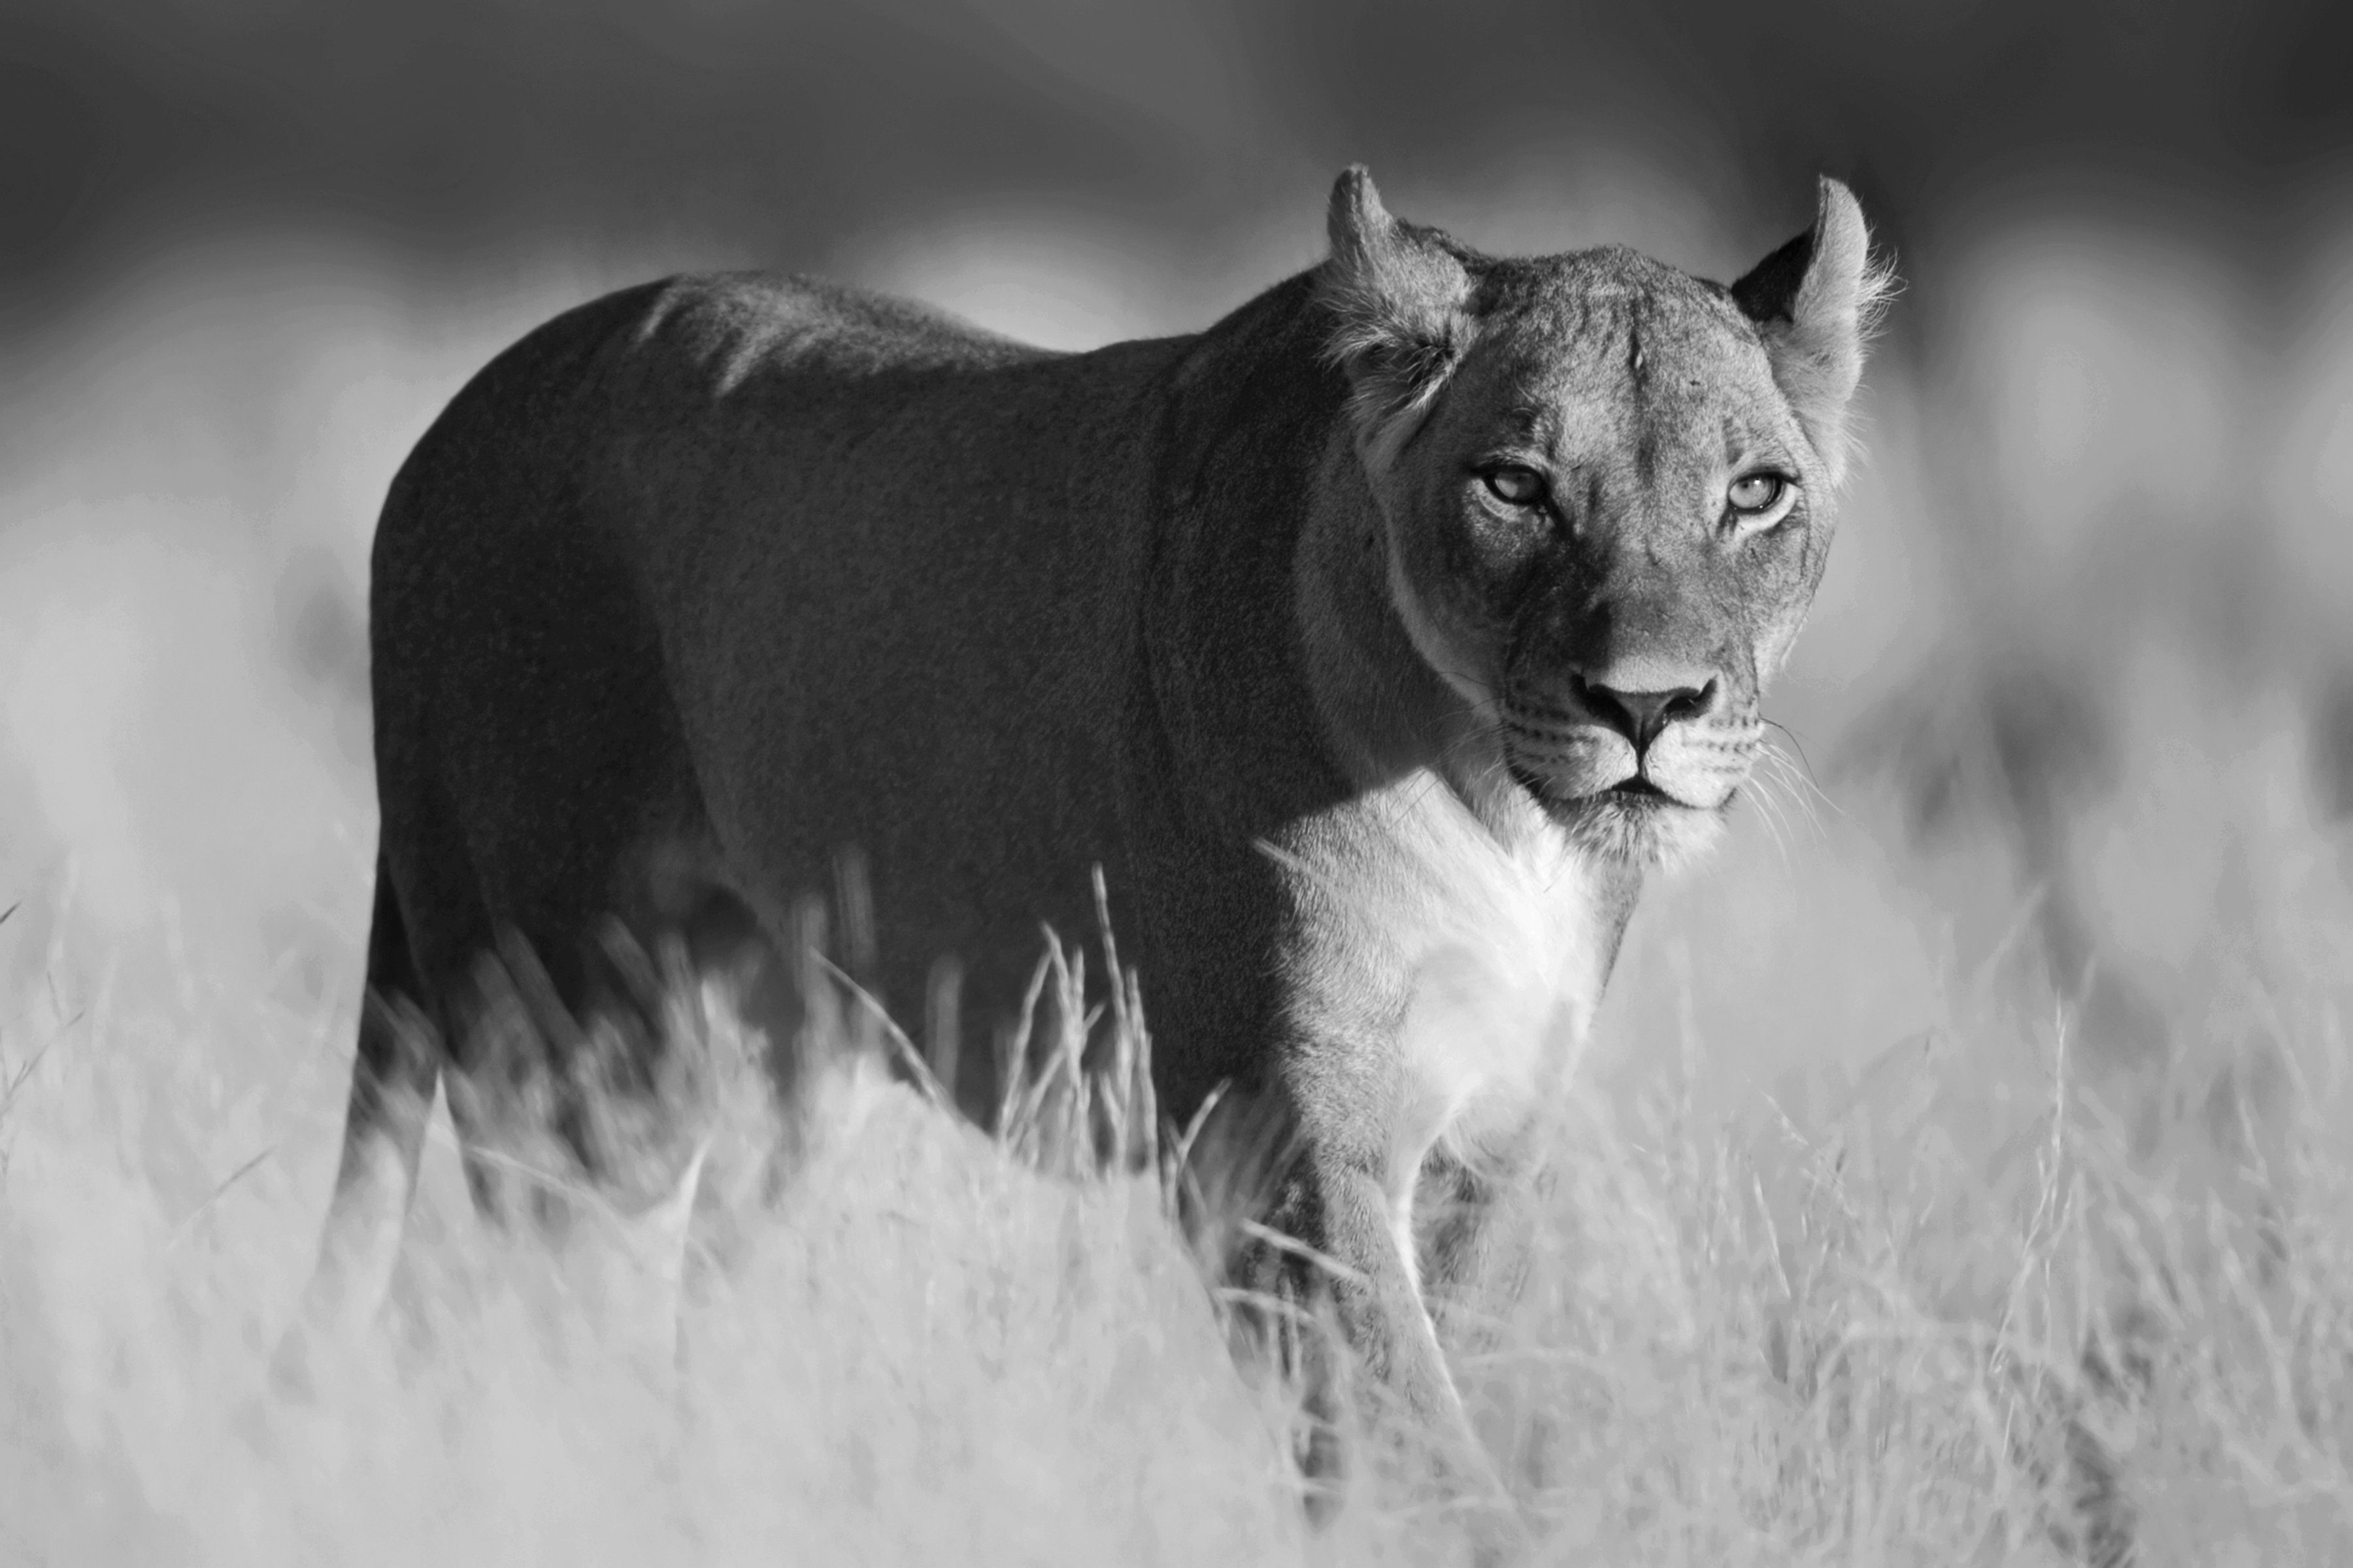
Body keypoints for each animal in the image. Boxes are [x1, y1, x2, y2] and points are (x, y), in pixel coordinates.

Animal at [288, 166, 1883, 1499]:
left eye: (1755, 493)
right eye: (1515, 485)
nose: (1648, 702)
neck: (1502, 808)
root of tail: (453, 420)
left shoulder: (1487, 1138)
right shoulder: (1274, 1126)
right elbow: (1408, 1436)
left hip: (767, 1073)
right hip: (579, 1049)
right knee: (537, 1320)